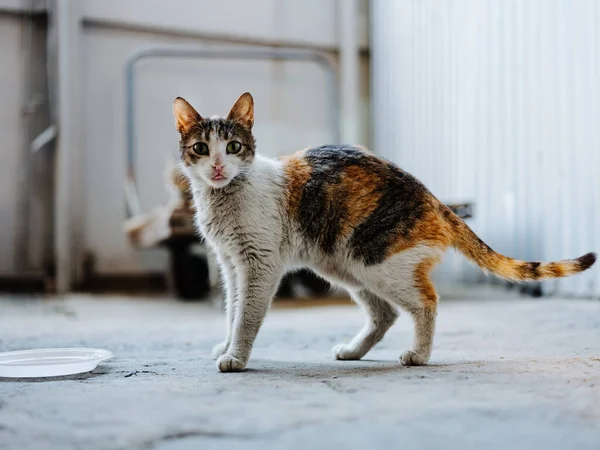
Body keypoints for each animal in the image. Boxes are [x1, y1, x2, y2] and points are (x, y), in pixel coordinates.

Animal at [172, 92, 596, 372]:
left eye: (233, 146)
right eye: (200, 148)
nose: (217, 167)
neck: (223, 198)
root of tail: (434, 200)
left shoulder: (259, 265)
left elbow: (247, 316)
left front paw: (236, 357)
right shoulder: (230, 265)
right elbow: (231, 310)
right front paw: (225, 346)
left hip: (377, 263)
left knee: (427, 302)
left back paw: (419, 355)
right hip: (348, 266)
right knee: (386, 313)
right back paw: (353, 352)